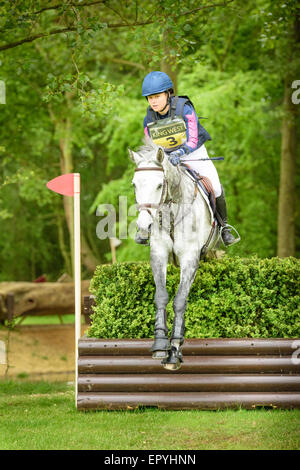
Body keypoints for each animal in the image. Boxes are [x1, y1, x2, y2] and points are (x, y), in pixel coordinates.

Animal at [127, 140, 219, 370]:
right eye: (134, 185)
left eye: (160, 185)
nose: (144, 227)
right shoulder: (158, 252)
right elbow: (161, 295)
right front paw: (160, 343)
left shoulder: (190, 258)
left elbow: (180, 300)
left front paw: (175, 350)